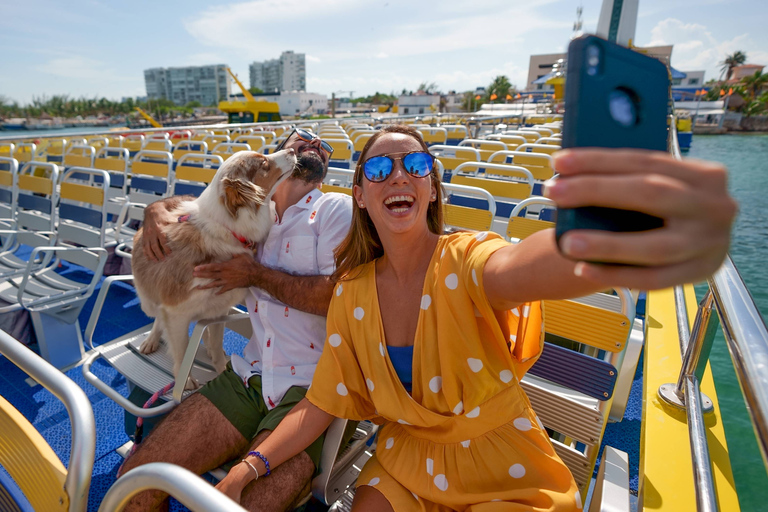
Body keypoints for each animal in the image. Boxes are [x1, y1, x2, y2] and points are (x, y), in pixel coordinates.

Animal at [130, 148, 296, 388]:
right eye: (264, 163)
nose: (293, 149)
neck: (227, 230)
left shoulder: (219, 308)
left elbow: (217, 344)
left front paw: (219, 369)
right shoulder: (176, 311)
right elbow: (181, 351)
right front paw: (186, 379)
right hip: (149, 300)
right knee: (158, 317)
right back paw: (151, 340)